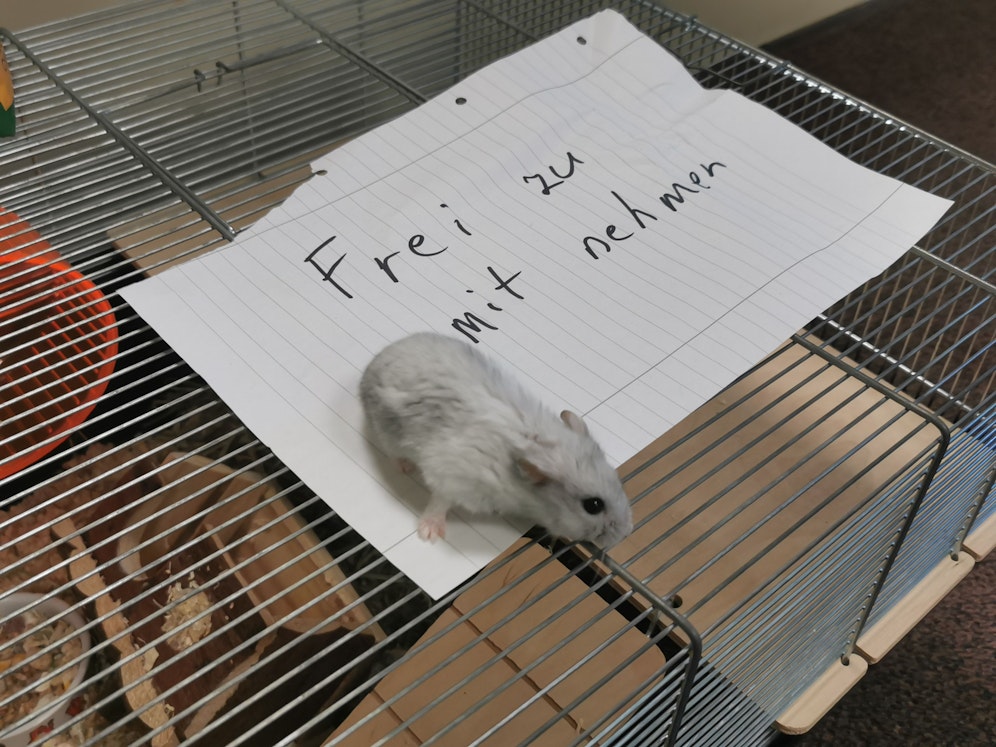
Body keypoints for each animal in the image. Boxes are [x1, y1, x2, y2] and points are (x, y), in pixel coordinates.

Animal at [359, 332, 633, 548]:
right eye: (593, 505)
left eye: (618, 482)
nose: (626, 534)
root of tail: (373, 363)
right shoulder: (452, 477)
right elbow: (440, 501)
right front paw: (430, 536)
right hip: (387, 431)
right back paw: (405, 467)